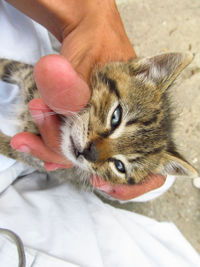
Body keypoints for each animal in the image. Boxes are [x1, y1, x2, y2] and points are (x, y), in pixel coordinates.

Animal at [0, 53, 198, 185]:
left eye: (119, 166)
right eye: (116, 116)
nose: (89, 152)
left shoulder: (31, 156)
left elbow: (9, 146)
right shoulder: (25, 72)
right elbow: (5, 64)